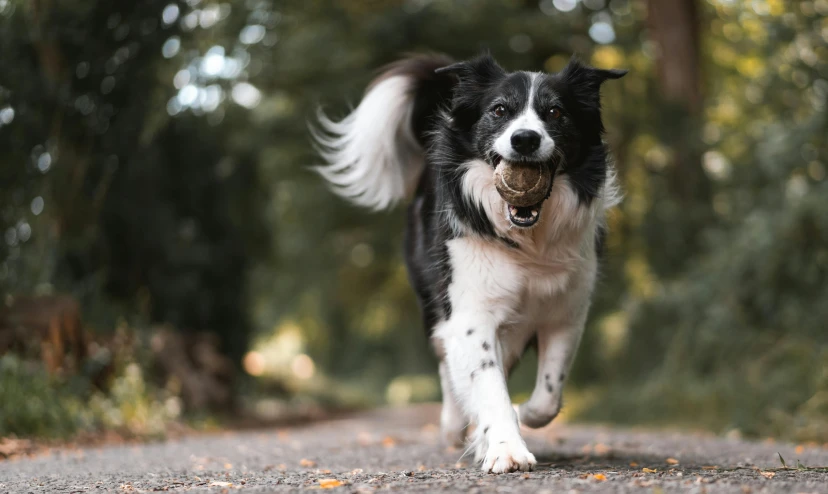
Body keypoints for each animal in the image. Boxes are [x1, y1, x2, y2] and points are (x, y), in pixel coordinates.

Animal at [314, 54, 624, 474]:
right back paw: (454, 426)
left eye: (556, 112)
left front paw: (518, 417)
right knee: (448, 365)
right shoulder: (470, 311)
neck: (528, 240)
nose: (524, 139)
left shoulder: (566, 312)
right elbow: (487, 383)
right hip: (434, 303)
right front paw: (506, 448)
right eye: (500, 110)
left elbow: (547, 396)